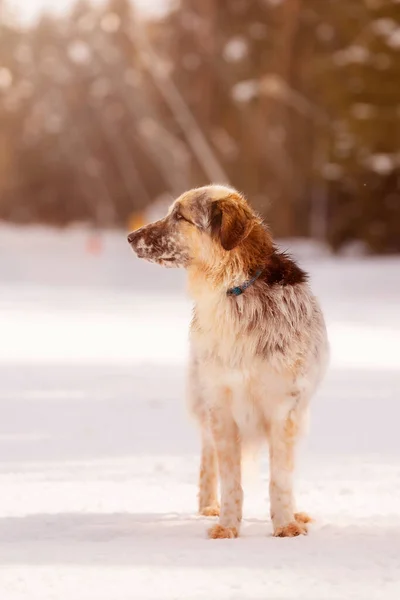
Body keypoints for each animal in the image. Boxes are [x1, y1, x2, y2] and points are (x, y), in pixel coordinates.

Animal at [128, 183, 328, 540]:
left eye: (180, 216)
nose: (130, 236)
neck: (234, 290)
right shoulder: (221, 407)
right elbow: (230, 479)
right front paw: (227, 526)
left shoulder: (284, 409)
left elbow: (280, 478)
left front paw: (285, 524)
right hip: (205, 401)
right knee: (209, 458)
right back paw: (209, 506)